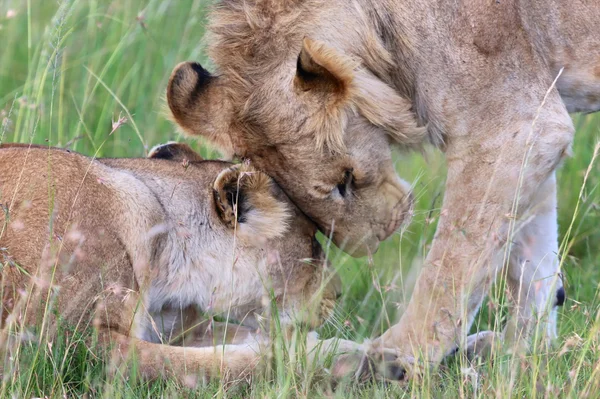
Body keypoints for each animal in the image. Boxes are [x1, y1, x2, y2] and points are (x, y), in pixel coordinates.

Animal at [0, 143, 390, 384]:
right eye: (311, 241)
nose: (338, 295)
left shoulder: (172, 326)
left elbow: (232, 337)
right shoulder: (63, 345)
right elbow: (209, 365)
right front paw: (341, 359)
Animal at [164, 0, 592, 380]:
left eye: (345, 179)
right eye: (294, 199)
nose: (371, 243)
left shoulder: (514, 126)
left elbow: (451, 263)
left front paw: (396, 358)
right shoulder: (532, 128)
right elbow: (531, 262)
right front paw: (520, 354)